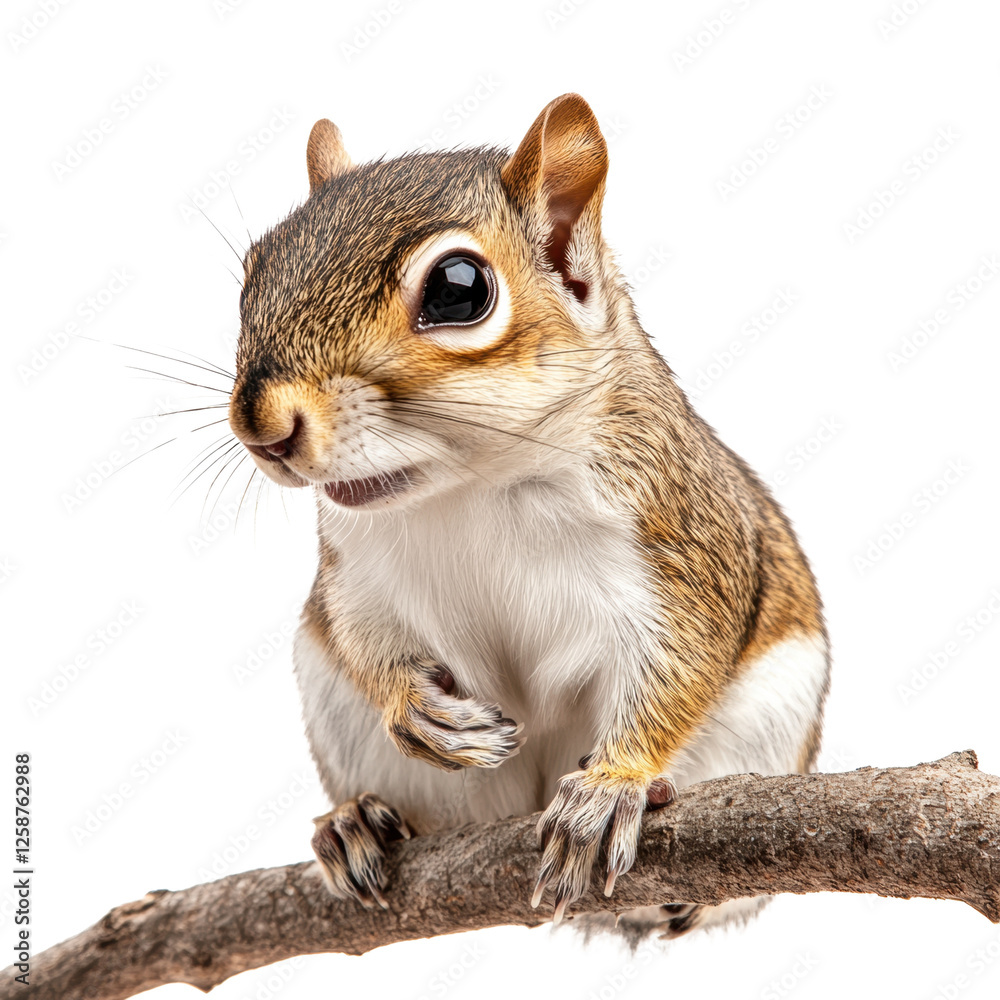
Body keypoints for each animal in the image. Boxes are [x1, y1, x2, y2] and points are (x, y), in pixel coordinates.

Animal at [227, 93, 830, 937]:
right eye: (254, 271)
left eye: (457, 288)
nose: (262, 426)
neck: (469, 484)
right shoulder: (354, 572)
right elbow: (361, 640)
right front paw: (417, 710)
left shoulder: (676, 549)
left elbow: (678, 665)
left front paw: (613, 786)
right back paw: (353, 825)